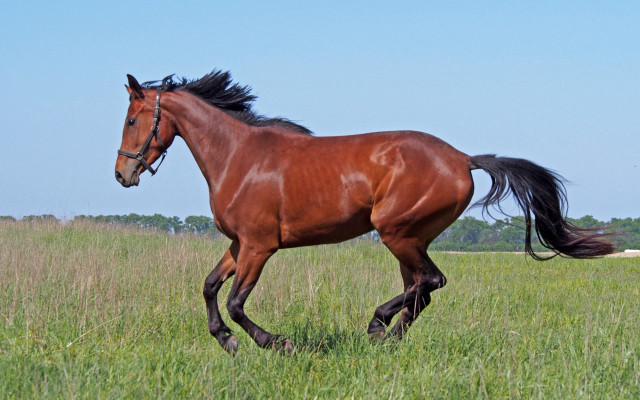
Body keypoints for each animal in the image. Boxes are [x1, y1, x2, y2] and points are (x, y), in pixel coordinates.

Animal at [115, 70, 614, 354]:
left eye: (132, 119)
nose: (122, 174)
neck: (239, 157)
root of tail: (462, 158)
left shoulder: (259, 246)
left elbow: (237, 302)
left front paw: (276, 343)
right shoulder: (239, 245)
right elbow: (209, 287)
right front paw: (226, 341)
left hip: (396, 232)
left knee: (430, 282)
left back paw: (378, 326)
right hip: (409, 238)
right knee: (420, 290)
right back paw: (388, 337)